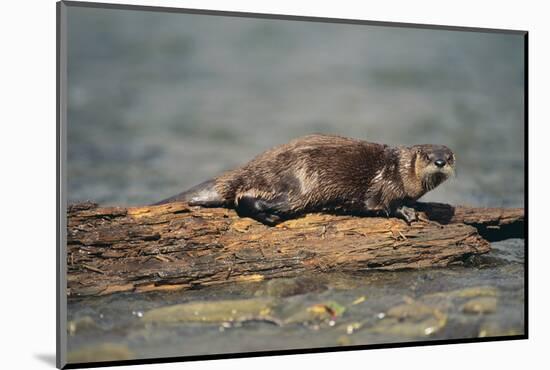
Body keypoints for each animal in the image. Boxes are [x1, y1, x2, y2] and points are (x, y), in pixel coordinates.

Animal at [155, 134, 458, 224]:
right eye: (428, 156)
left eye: (450, 155)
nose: (440, 161)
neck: (400, 170)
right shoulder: (386, 185)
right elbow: (385, 204)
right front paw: (408, 211)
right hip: (297, 187)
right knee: (244, 199)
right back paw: (269, 217)